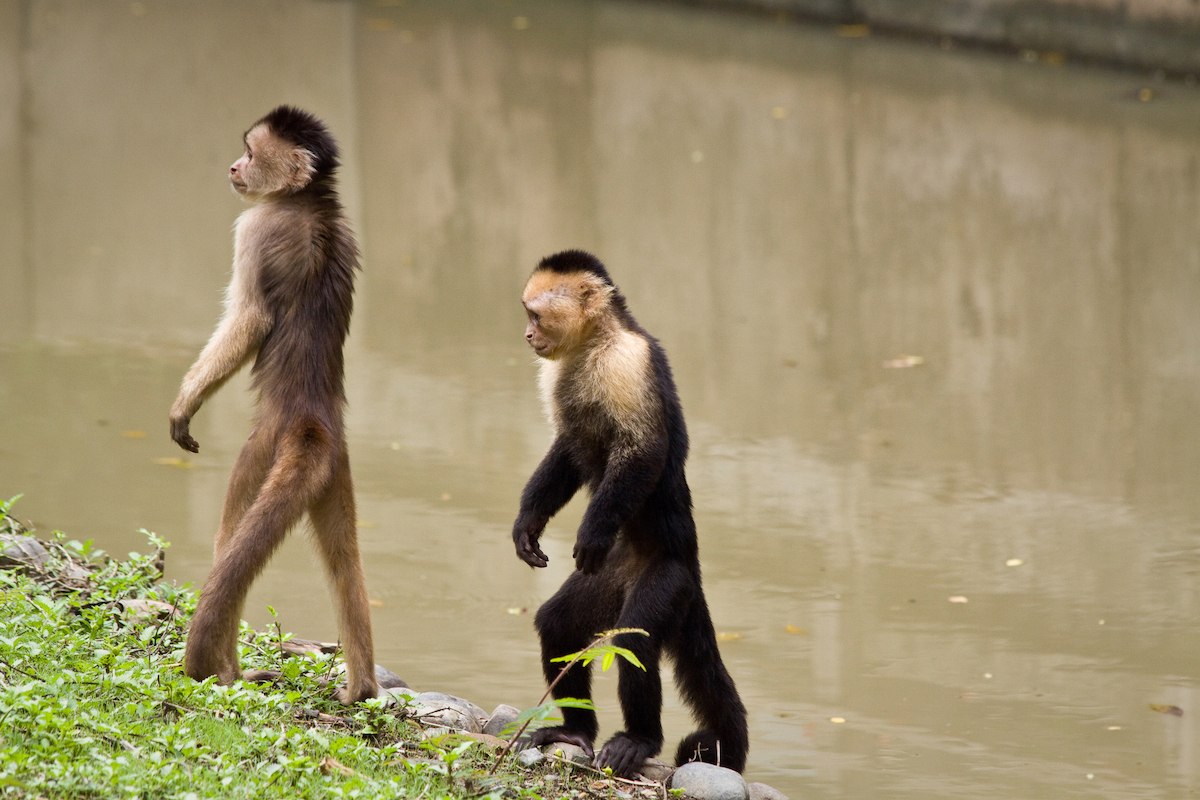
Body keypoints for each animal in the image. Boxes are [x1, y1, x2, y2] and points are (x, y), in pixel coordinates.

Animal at [169, 105, 377, 704]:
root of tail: (309, 421)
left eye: (250, 153)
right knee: (345, 559)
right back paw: (362, 689)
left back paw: (225, 671)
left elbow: (252, 318)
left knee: (229, 536)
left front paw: (184, 406)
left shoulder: (254, 227)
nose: (233, 167)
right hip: (335, 468)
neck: (307, 201)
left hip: (262, 449)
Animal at [512, 250, 749, 778]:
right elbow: (567, 450)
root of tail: (692, 566)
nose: (528, 337)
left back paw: (639, 739)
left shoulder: (628, 361)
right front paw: (527, 525)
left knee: (635, 642)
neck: (594, 343)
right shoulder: (557, 372)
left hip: (669, 581)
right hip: (607, 577)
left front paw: (593, 530)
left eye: (535, 316)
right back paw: (576, 730)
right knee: (558, 624)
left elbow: (643, 451)